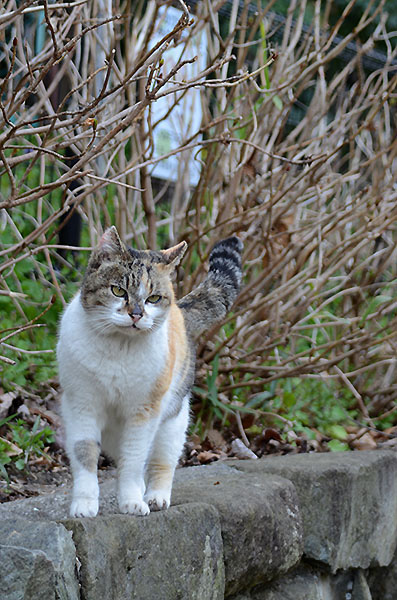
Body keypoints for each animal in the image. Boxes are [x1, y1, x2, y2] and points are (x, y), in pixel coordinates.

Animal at [55, 225, 241, 516]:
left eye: (153, 298)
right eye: (118, 291)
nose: (136, 314)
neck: (118, 351)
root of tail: (179, 310)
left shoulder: (144, 412)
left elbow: (133, 459)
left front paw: (131, 501)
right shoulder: (82, 405)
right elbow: (85, 454)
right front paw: (84, 504)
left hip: (172, 423)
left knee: (161, 462)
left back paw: (155, 497)